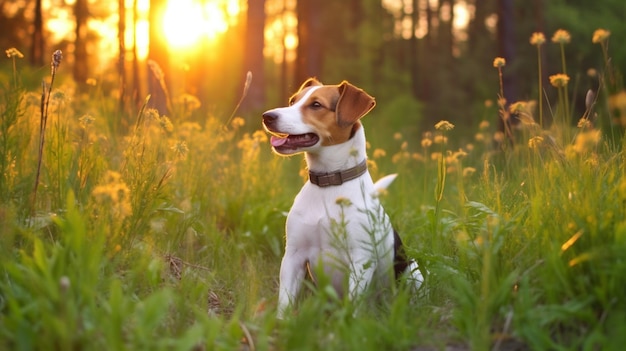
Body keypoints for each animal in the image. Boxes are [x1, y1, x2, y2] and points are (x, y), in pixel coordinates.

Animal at [260, 77, 422, 320]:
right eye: (292, 101)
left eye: (316, 105)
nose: (267, 116)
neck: (329, 182)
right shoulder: (293, 257)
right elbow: (285, 303)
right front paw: (280, 324)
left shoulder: (360, 261)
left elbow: (353, 306)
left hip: (414, 270)